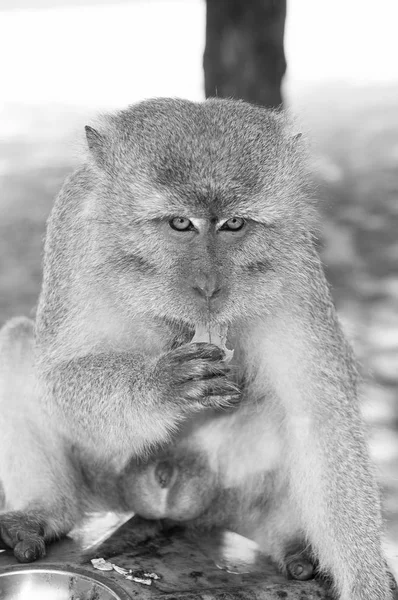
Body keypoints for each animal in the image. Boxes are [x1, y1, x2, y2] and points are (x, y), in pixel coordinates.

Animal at [0, 99, 394, 600]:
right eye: (180, 223)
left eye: (234, 224)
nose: (209, 286)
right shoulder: (74, 231)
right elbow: (54, 379)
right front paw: (159, 386)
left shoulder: (292, 261)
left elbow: (320, 415)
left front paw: (367, 582)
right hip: (107, 479)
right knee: (15, 346)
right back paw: (45, 511)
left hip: (233, 493)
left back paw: (292, 542)